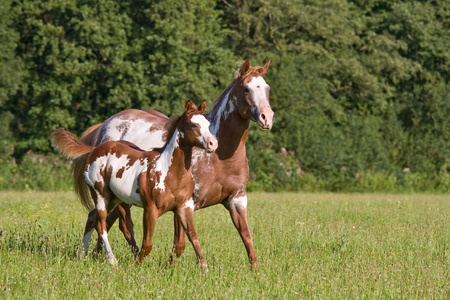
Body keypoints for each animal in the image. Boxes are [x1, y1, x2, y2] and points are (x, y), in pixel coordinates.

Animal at [51, 101, 217, 268]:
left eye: (207, 124)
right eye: (193, 125)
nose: (212, 144)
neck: (169, 171)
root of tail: (95, 149)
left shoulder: (184, 207)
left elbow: (190, 239)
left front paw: (204, 267)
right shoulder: (150, 209)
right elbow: (147, 244)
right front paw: (137, 264)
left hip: (115, 198)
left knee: (92, 218)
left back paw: (81, 255)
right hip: (100, 195)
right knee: (101, 225)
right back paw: (112, 260)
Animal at [75, 59, 272, 268]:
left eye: (267, 88)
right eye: (246, 89)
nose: (266, 118)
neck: (221, 159)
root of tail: (103, 127)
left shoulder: (237, 199)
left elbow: (246, 236)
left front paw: (255, 269)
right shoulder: (188, 203)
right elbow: (180, 243)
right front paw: (168, 265)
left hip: (115, 197)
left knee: (97, 219)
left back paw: (91, 254)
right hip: (118, 198)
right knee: (121, 225)